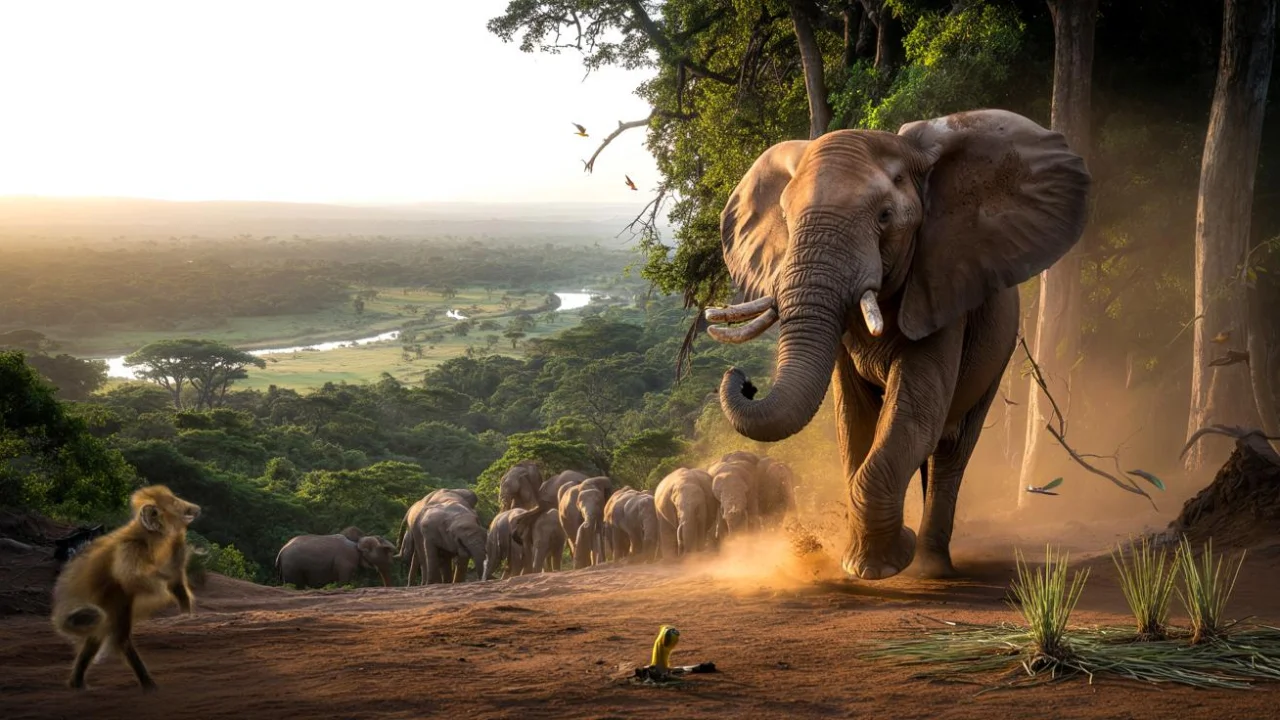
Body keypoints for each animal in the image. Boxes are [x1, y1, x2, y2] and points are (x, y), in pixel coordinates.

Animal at [704, 108, 1090, 580]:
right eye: (787, 220)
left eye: (885, 216)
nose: (741, 379)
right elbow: (855, 422)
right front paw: (861, 565)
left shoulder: (942, 286)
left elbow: (913, 414)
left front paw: (880, 566)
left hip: (997, 357)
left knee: (951, 451)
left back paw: (931, 568)